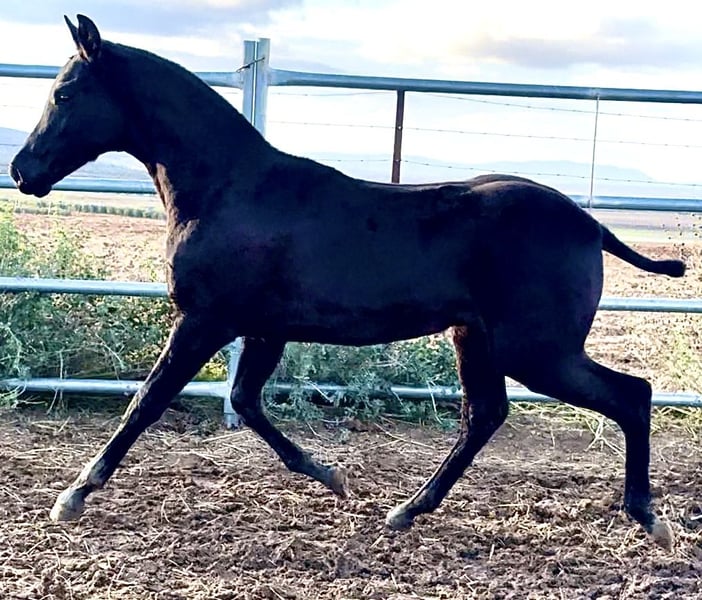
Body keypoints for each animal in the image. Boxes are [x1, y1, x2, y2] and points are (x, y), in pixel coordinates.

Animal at [9, 15, 685, 548]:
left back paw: (648, 518)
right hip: (478, 339)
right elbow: (245, 402)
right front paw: (332, 475)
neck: (228, 189)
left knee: (631, 395)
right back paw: (406, 511)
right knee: (485, 415)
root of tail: (591, 224)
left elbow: (147, 401)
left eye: (65, 93)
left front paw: (73, 495)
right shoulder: (263, 330)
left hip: (537, 351)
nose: (22, 171)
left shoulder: (208, 320)